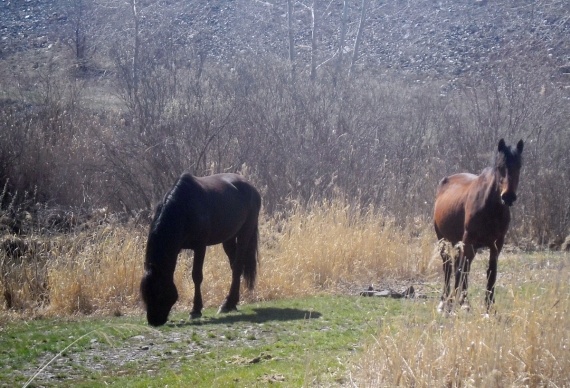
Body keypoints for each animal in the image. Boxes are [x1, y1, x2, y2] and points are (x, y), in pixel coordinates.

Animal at [140, 173, 260, 328]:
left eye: (159, 291)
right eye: (145, 293)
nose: (154, 321)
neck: (184, 209)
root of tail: (251, 187)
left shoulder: (200, 247)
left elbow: (196, 276)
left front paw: (195, 310)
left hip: (245, 233)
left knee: (238, 266)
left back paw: (227, 304)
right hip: (228, 239)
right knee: (234, 267)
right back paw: (231, 303)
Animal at [432, 138, 520, 314]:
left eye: (519, 166)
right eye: (499, 167)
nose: (508, 197)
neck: (490, 208)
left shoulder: (496, 245)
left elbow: (491, 272)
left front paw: (489, 306)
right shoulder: (468, 241)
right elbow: (462, 270)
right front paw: (462, 303)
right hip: (443, 240)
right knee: (448, 266)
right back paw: (445, 302)